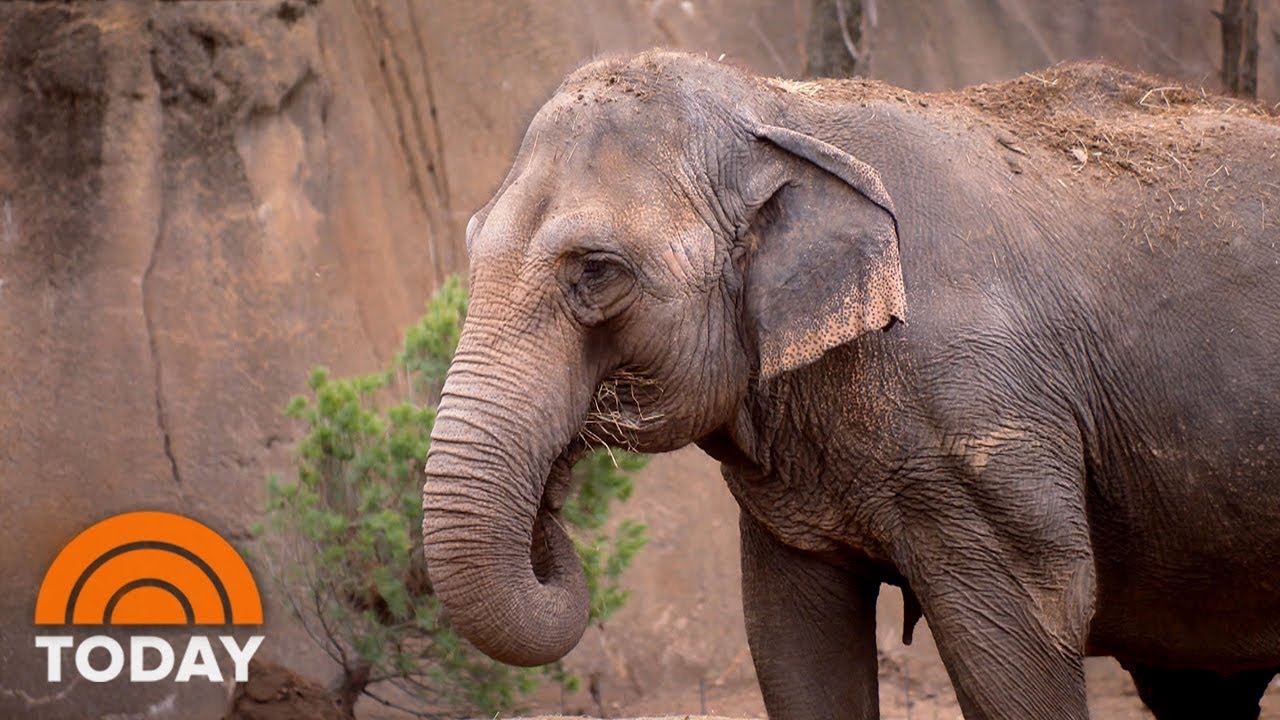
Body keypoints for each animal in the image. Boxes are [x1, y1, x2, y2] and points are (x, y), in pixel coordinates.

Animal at [421, 50, 1280, 719]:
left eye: (597, 270)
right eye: (467, 241)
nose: (554, 500)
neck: (784, 108)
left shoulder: (986, 423)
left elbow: (1030, 638)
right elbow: (792, 644)